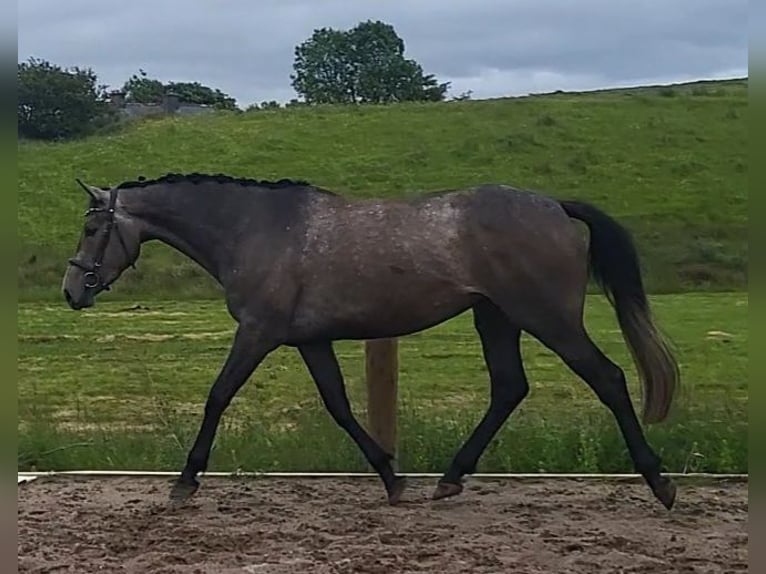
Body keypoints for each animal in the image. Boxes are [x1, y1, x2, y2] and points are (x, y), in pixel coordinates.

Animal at [63, 173, 680, 510]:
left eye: (92, 229)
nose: (72, 291)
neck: (255, 229)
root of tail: (554, 205)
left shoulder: (258, 333)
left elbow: (217, 397)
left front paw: (185, 483)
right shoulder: (310, 341)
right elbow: (338, 406)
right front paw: (392, 479)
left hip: (546, 317)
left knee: (608, 378)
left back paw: (661, 484)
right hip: (496, 318)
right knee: (509, 388)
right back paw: (448, 480)